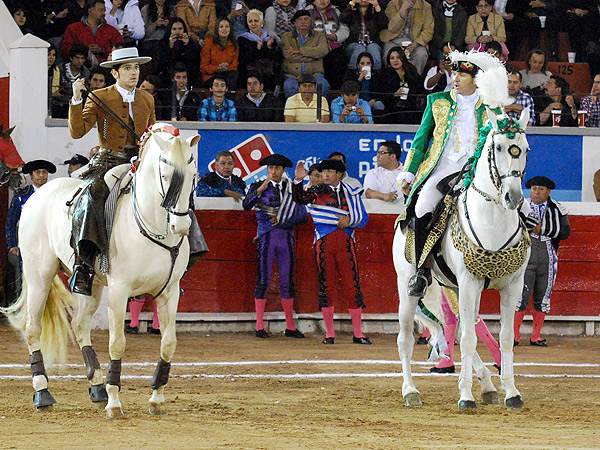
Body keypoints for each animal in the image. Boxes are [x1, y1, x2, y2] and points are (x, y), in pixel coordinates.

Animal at [2, 123, 199, 418]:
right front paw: (115, 402)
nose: (181, 226)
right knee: (32, 327)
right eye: (165, 176)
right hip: (39, 275)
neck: (151, 224)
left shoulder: (170, 292)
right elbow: (117, 342)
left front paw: (156, 398)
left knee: (79, 325)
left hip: (90, 283)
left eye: (193, 176)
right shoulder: (119, 291)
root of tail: (39, 193)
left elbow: (168, 342)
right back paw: (43, 392)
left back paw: (96, 386)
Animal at [394, 108, 528, 408]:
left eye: (525, 148)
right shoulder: (469, 283)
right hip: (408, 284)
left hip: (452, 287)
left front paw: (512, 393)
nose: (513, 197)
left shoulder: (511, 286)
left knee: (459, 326)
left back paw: (488, 385)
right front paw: (466, 397)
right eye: (497, 147)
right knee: (406, 338)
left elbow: (505, 338)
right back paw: (410, 391)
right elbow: (468, 339)